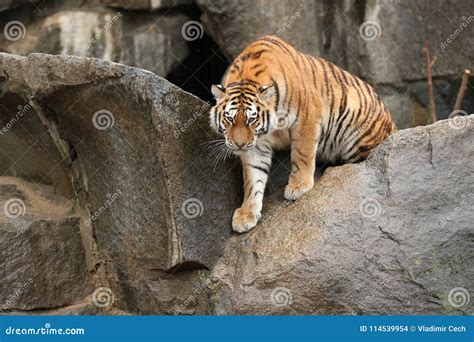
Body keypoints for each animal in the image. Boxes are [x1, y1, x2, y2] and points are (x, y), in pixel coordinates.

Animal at [209, 34, 398, 234]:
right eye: (229, 119)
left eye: (251, 120)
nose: (239, 144)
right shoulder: (256, 143)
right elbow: (253, 177)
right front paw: (246, 213)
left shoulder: (307, 116)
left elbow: (302, 153)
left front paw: (299, 187)